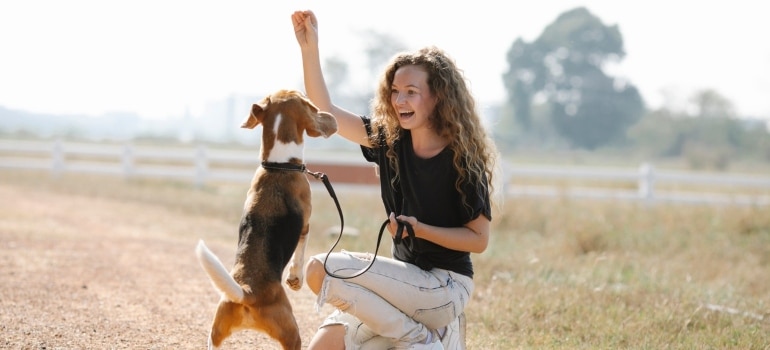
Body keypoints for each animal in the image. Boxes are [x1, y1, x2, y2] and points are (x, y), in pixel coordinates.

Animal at [195, 89, 336, 350]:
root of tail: (247, 291)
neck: (278, 165)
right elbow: (300, 254)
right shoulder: (305, 224)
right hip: (292, 334)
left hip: (215, 334)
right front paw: (295, 279)